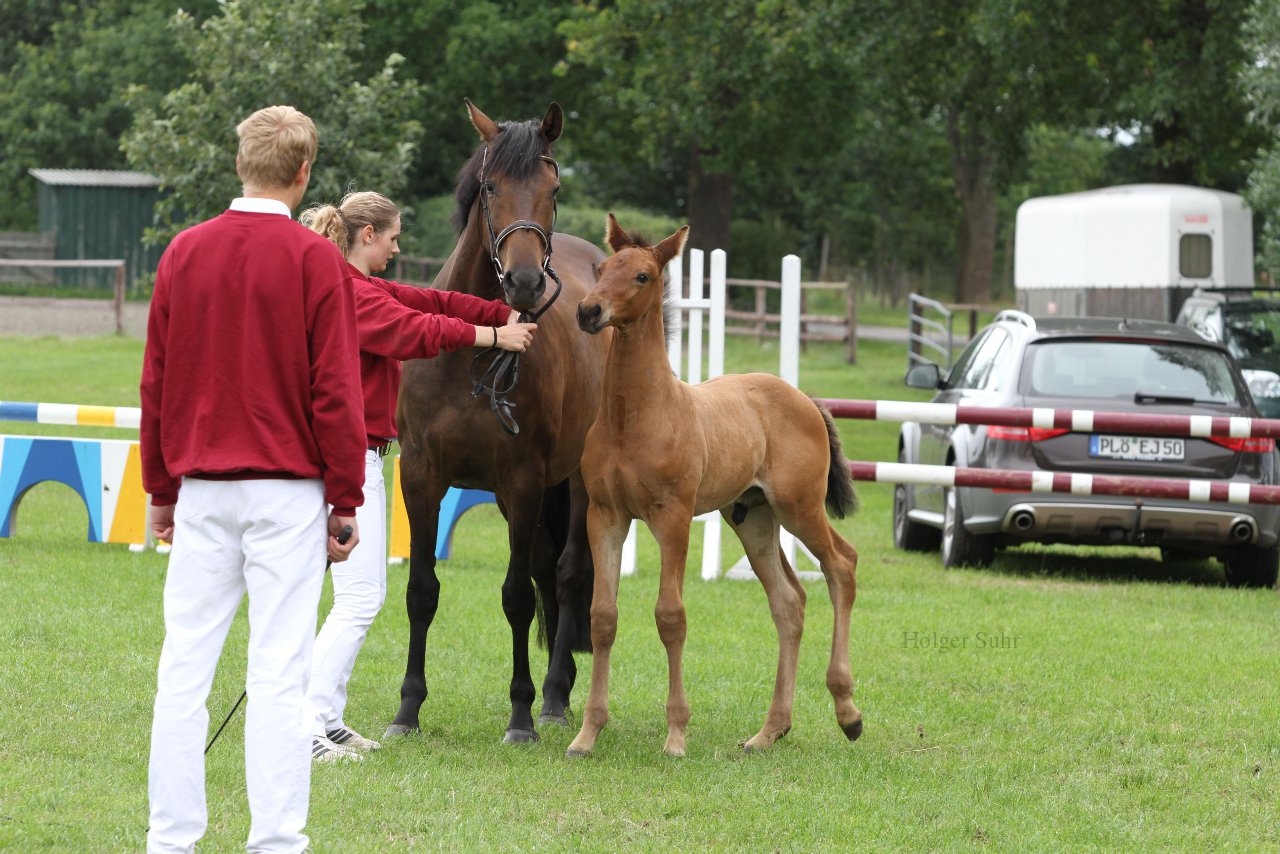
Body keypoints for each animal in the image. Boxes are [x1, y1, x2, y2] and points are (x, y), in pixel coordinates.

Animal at [386, 98, 606, 742]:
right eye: (490, 187)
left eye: (554, 189)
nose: (526, 282)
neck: (473, 352)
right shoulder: (422, 477)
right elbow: (421, 590)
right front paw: (408, 709)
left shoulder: (523, 479)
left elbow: (514, 597)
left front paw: (521, 714)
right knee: (545, 571)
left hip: (573, 485)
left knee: (566, 574)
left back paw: (553, 698)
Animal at [568, 217, 860, 757]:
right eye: (601, 268)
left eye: (642, 275)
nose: (588, 311)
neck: (633, 417)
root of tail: (804, 398)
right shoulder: (606, 516)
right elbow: (602, 617)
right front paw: (587, 734)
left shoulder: (674, 517)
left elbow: (670, 617)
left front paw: (676, 736)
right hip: (754, 519)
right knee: (789, 603)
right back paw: (769, 731)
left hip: (800, 507)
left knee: (841, 566)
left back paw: (848, 712)